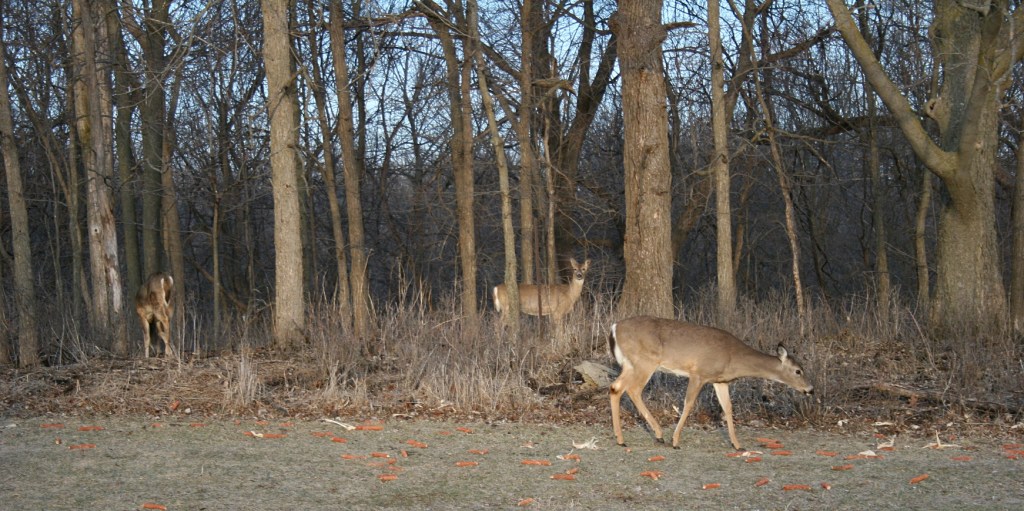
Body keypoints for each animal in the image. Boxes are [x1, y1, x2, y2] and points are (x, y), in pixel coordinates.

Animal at [608, 316, 813, 450]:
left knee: (615, 387)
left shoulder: (720, 381)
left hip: (630, 364)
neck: (733, 358)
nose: (810, 389)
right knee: (633, 389)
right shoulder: (699, 373)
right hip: (645, 361)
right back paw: (658, 435)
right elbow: (688, 403)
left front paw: (737, 445)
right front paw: (676, 441)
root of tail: (614, 328)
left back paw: (621, 439)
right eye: (798, 371)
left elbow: (728, 407)